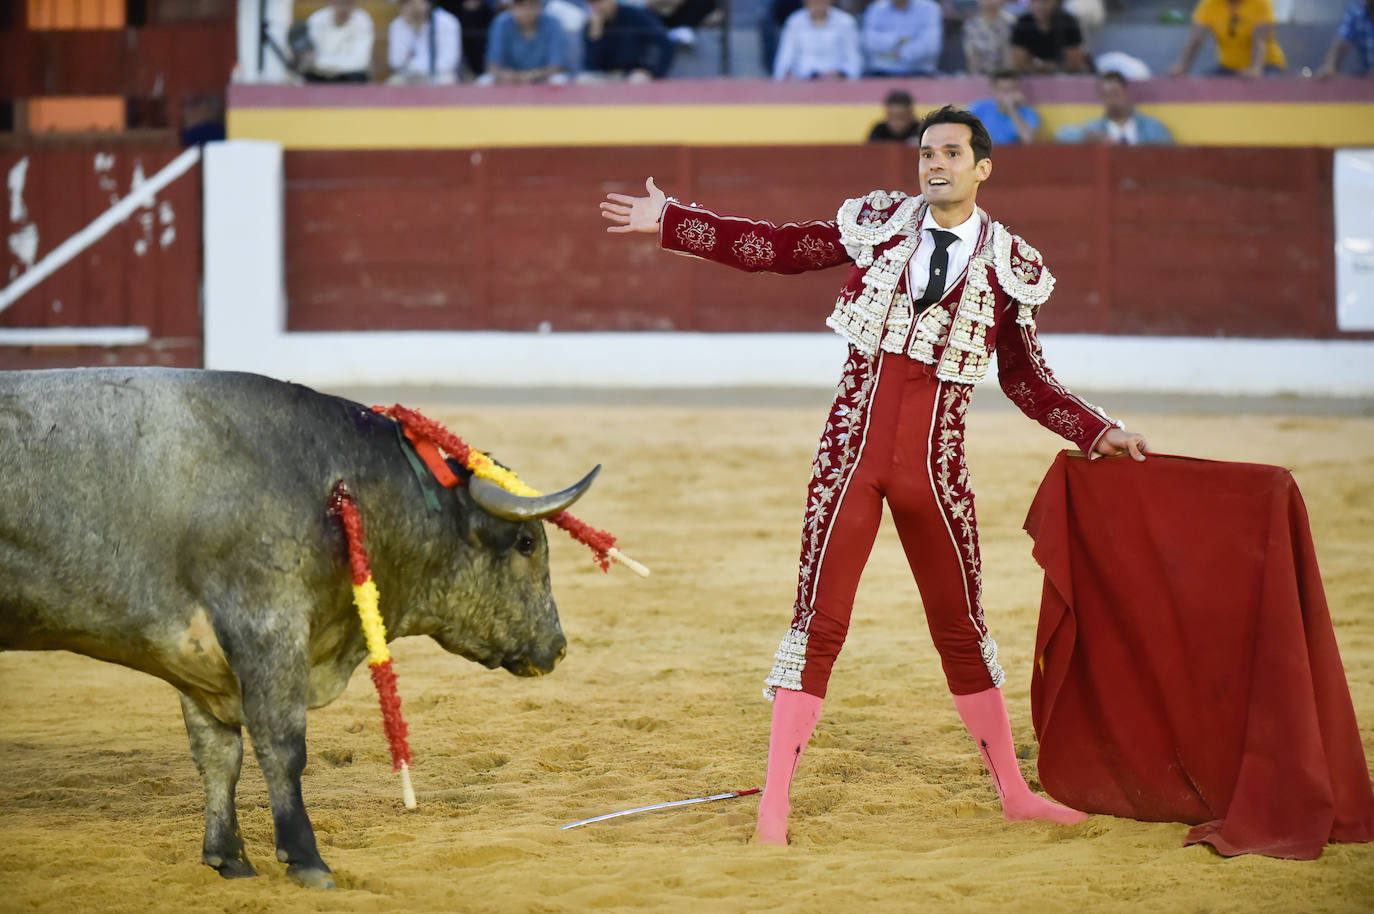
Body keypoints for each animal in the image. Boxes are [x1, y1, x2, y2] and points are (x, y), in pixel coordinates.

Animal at [0, 368, 596, 885]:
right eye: (526, 542)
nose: (559, 647)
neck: (339, 483)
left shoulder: (196, 659)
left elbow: (218, 755)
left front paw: (228, 859)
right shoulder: (266, 626)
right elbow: (282, 746)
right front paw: (306, 859)